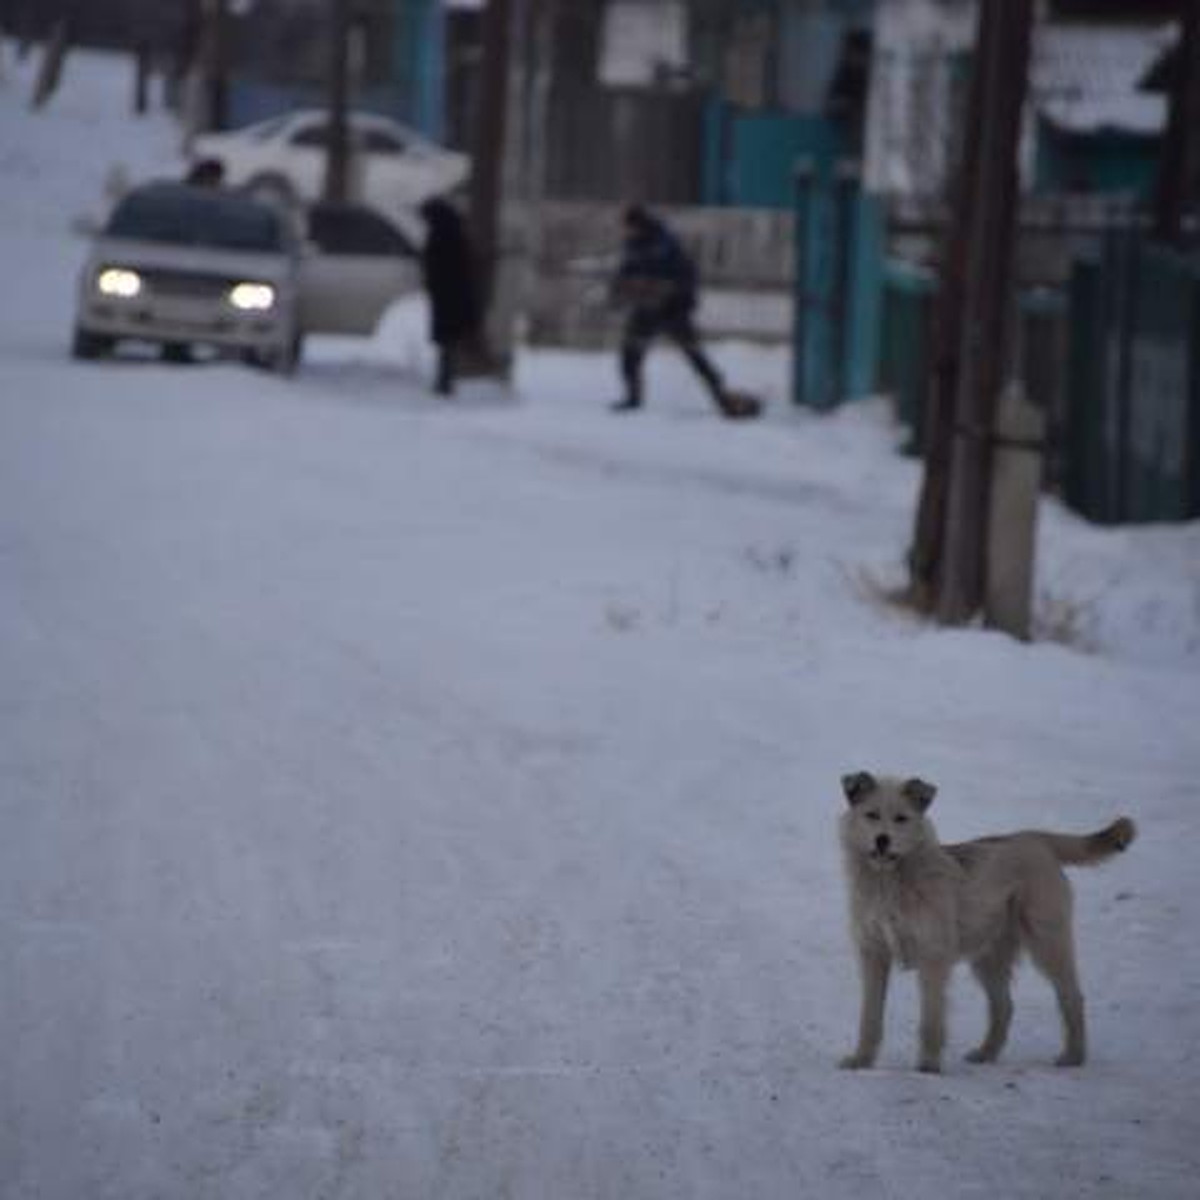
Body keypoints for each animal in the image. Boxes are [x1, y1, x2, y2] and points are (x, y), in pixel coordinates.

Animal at [835, 772, 1132, 1075]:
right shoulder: (874, 955)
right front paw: (861, 1060)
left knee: (1071, 996)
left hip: (1047, 943)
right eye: (871, 815)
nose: (882, 840)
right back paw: (986, 1053)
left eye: (901, 818)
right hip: (988, 958)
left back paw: (1073, 1056)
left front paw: (928, 1066)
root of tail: (1033, 838)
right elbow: (870, 1018)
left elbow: (931, 1020)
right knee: (1004, 1006)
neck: (889, 881)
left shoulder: (933, 957)